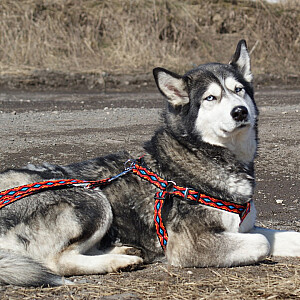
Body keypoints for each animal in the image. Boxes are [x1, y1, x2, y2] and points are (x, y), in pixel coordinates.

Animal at [0, 39, 300, 286]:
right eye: (210, 98)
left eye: (239, 90)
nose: (240, 111)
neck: (202, 153)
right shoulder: (189, 244)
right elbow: (262, 243)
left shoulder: (243, 228)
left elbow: (281, 236)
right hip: (93, 200)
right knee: (57, 261)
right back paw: (119, 261)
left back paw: (122, 250)